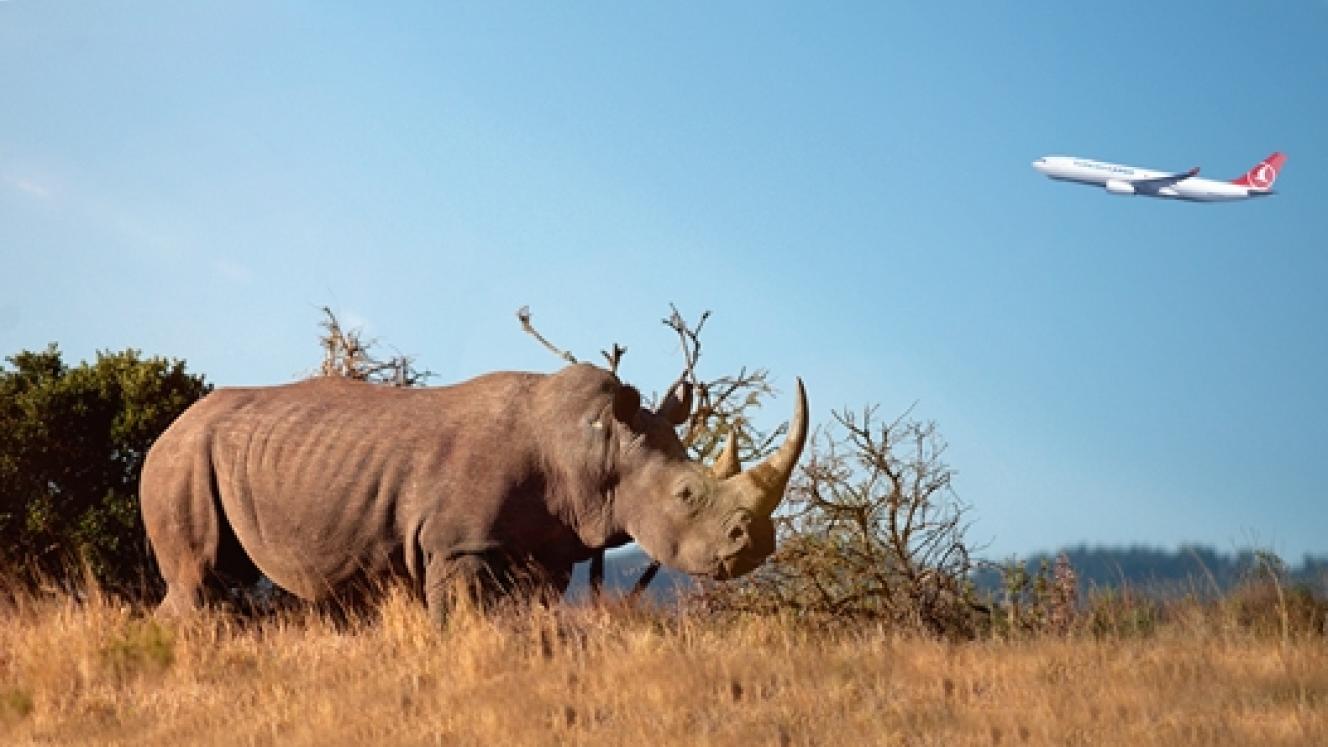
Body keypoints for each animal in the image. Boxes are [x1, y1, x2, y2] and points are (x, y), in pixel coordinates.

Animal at [140, 363, 808, 618]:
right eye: (687, 495)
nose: (758, 544)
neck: (595, 447)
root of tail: (166, 429)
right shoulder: (460, 545)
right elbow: (462, 621)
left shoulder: (545, 549)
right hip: (181, 457)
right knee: (198, 576)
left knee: (219, 574)